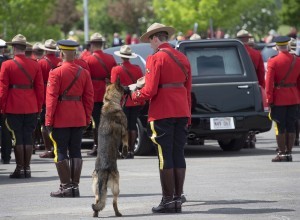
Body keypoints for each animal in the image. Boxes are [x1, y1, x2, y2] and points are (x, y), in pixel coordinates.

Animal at [92, 78, 128, 217]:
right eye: (123, 85)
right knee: (113, 202)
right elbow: (126, 142)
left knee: (98, 201)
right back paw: (118, 213)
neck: (110, 101)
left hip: (96, 189)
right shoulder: (125, 131)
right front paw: (126, 152)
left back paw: (95, 214)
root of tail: (103, 171)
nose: (129, 88)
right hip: (116, 186)